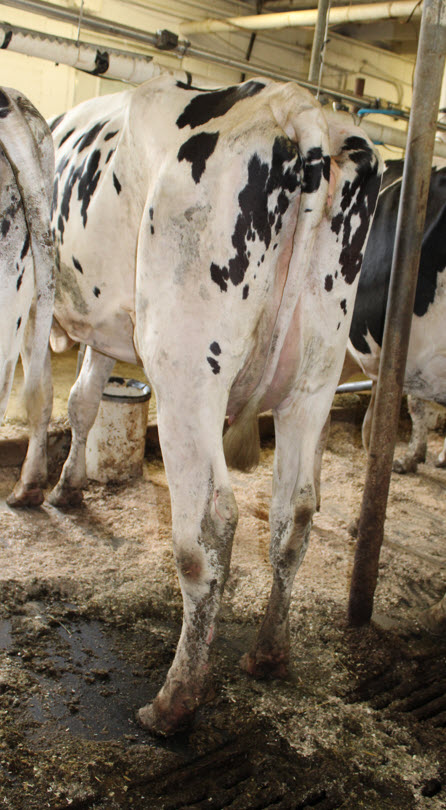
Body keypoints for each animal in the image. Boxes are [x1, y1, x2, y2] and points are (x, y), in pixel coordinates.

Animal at [47, 74, 382, 735]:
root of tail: (296, 107)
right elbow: (82, 402)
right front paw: (66, 486)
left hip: (184, 365)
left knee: (208, 523)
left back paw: (175, 699)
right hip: (317, 372)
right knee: (295, 511)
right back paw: (269, 654)